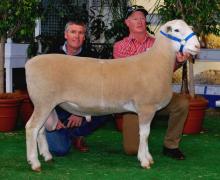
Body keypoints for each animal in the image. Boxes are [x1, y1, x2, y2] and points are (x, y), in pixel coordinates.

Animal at [24, 19, 200, 172]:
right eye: (176, 30)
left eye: (190, 27)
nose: (198, 46)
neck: (158, 62)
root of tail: (29, 63)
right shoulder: (146, 107)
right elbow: (144, 134)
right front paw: (144, 161)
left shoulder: (149, 109)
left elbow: (145, 134)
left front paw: (148, 157)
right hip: (43, 101)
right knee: (32, 128)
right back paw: (34, 163)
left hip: (46, 104)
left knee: (40, 130)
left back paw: (47, 156)